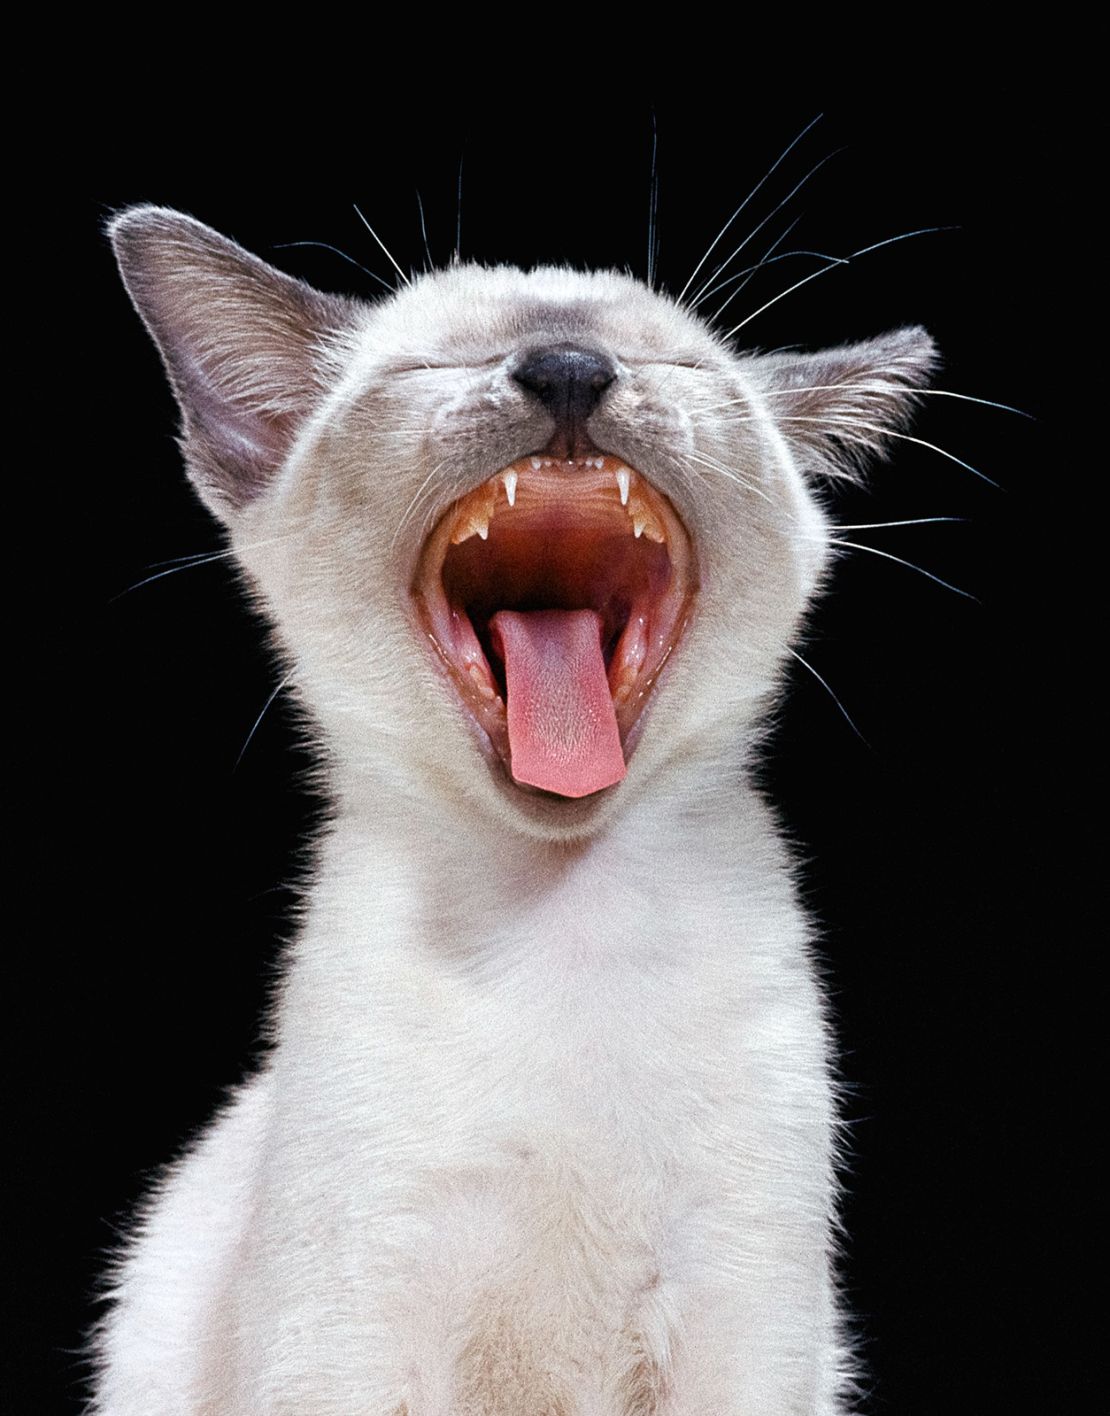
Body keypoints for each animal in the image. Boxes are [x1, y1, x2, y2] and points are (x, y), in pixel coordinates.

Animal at [91, 202, 934, 1416]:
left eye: (677, 369)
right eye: (432, 370)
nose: (570, 369)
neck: (558, 923)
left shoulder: (744, 1320)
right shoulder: (351, 1332)